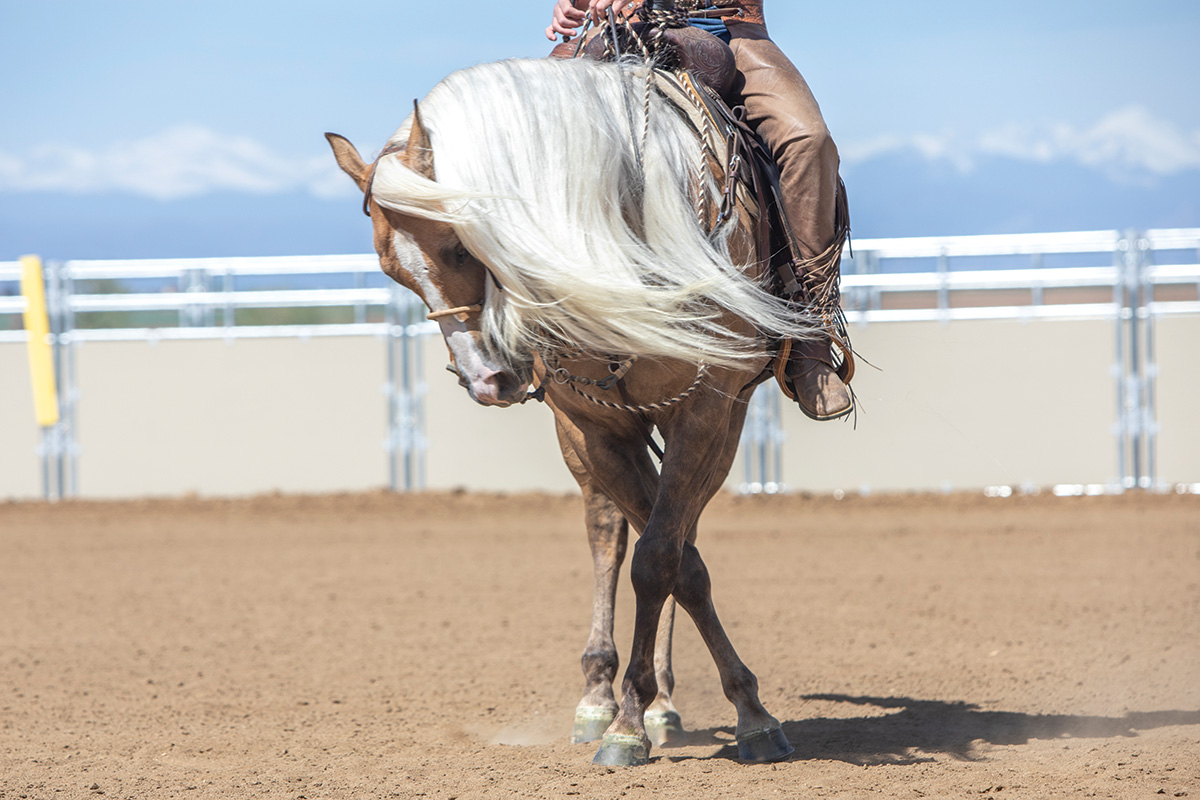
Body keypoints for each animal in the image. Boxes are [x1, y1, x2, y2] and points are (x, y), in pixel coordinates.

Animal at [326, 56, 816, 767]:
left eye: (458, 244)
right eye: (393, 270)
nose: (487, 377)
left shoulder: (707, 412)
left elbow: (665, 558)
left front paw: (736, 714)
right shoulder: (594, 427)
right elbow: (660, 556)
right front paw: (625, 716)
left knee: (672, 532)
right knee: (609, 532)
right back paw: (600, 697)